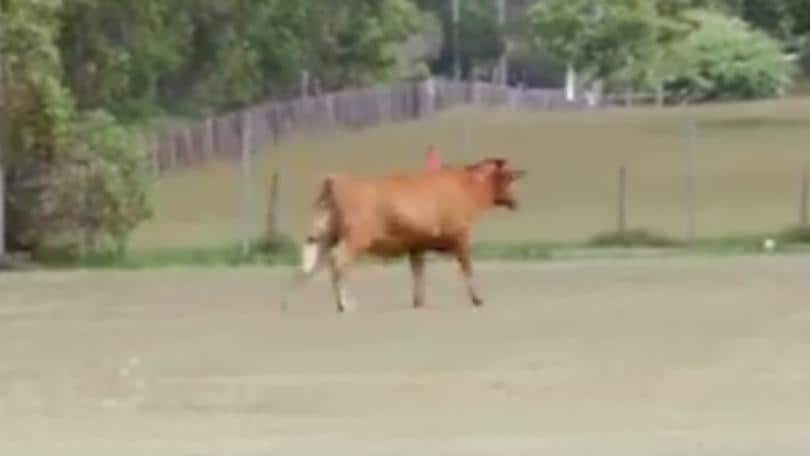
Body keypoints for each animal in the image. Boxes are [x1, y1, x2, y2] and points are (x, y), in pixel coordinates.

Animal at [281, 157, 526, 313]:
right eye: (509, 177)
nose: (516, 202)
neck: (464, 186)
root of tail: (335, 180)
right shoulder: (460, 237)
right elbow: (467, 267)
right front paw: (477, 299)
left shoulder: (416, 245)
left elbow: (418, 273)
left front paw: (418, 302)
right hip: (355, 239)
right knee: (338, 261)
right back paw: (345, 304)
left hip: (324, 236)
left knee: (310, 264)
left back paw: (289, 303)